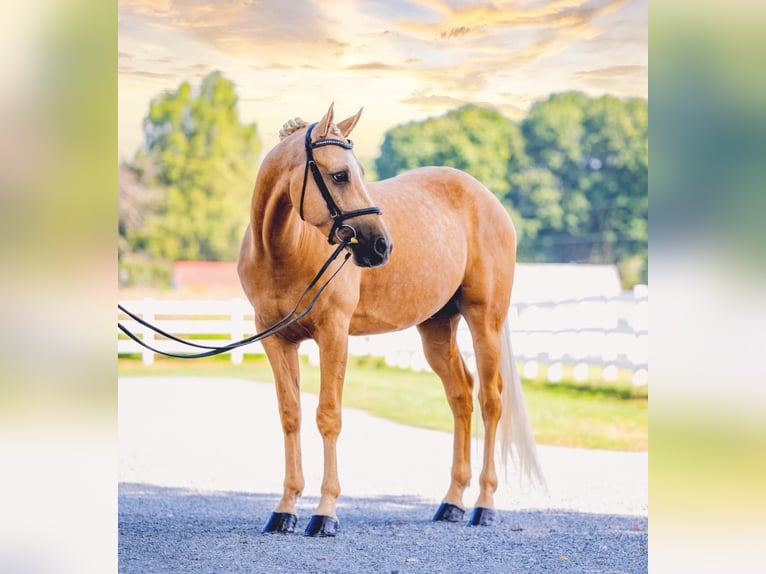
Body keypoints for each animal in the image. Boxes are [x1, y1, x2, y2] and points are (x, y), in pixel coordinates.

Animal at [237, 104, 544, 540]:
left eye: (360, 171)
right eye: (339, 175)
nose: (381, 245)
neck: (284, 249)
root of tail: (489, 200)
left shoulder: (334, 334)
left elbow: (328, 416)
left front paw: (325, 513)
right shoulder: (276, 340)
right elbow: (291, 416)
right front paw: (285, 510)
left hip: (485, 320)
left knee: (490, 401)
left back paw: (484, 505)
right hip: (437, 327)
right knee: (461, 395)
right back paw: (452, 502)